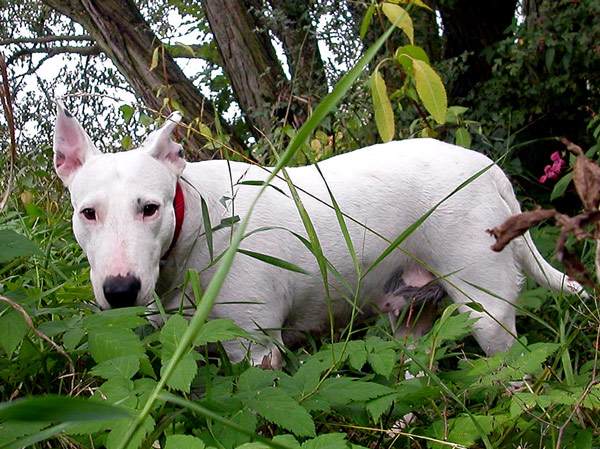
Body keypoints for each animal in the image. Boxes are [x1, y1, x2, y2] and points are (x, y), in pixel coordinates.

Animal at [54, 105, 584, 368]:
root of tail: (486, 166)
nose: (120, 291)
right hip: (411, 311)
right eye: (88, 213)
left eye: (150, 208)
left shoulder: (256, 347)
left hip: (485, 310)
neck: (196, 226)